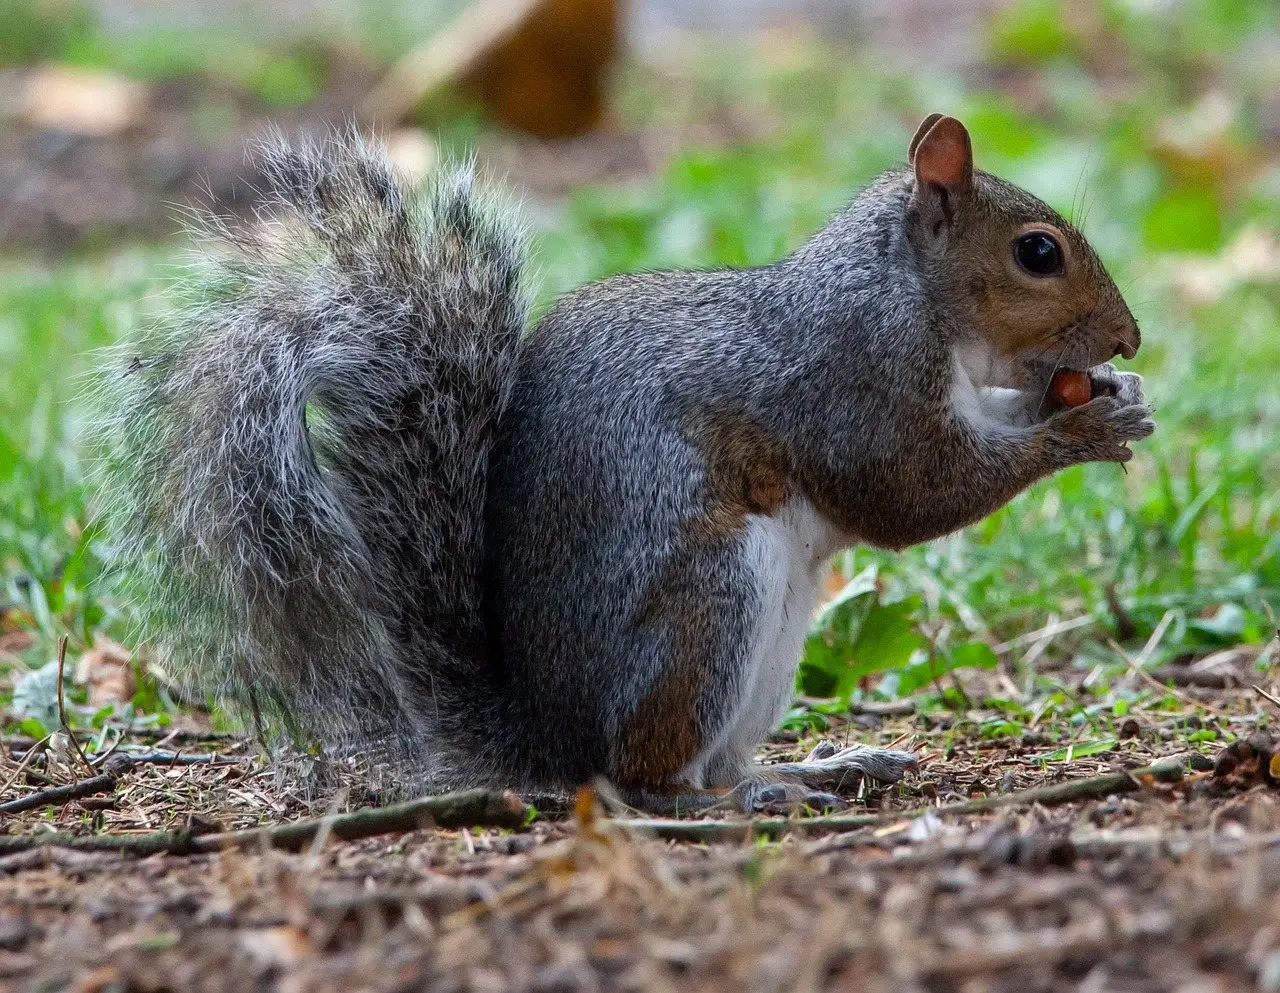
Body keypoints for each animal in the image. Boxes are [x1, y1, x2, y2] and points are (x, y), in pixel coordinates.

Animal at [95, 115, 1153, 812]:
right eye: (1037, 253)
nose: (1131, 338)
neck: (911, 296)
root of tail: (547, 739)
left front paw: (1112, 400)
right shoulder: (854, 380)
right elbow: (909, 492)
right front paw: (1077, 434)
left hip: (770, 644)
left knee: (711, 760)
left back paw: (810, 769)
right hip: (707, 607)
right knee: (647, 780)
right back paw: (739, 799)